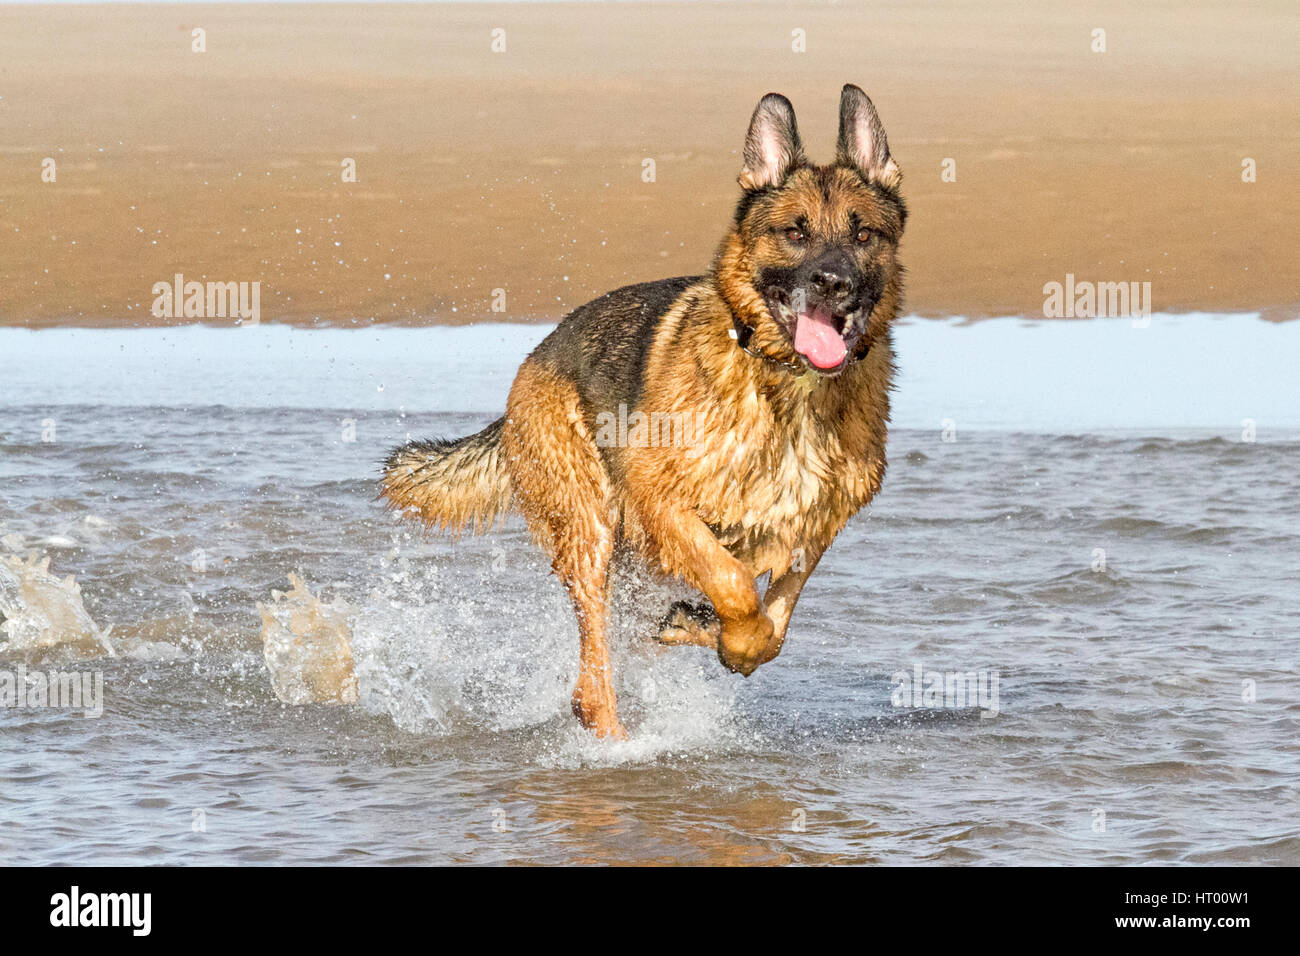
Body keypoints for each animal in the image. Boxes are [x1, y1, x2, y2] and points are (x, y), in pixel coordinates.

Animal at [379, 83, 904, 738]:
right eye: (796, 233)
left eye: (863, 237)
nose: (834, 284)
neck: (787, 388)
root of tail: (536, 355)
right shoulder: (661, 498)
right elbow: (734, 584)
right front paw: (729, 631)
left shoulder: (813, 526)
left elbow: (773, 623)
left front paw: (726, 638)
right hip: (592, 529)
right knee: (591, 677)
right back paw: (614, 741)